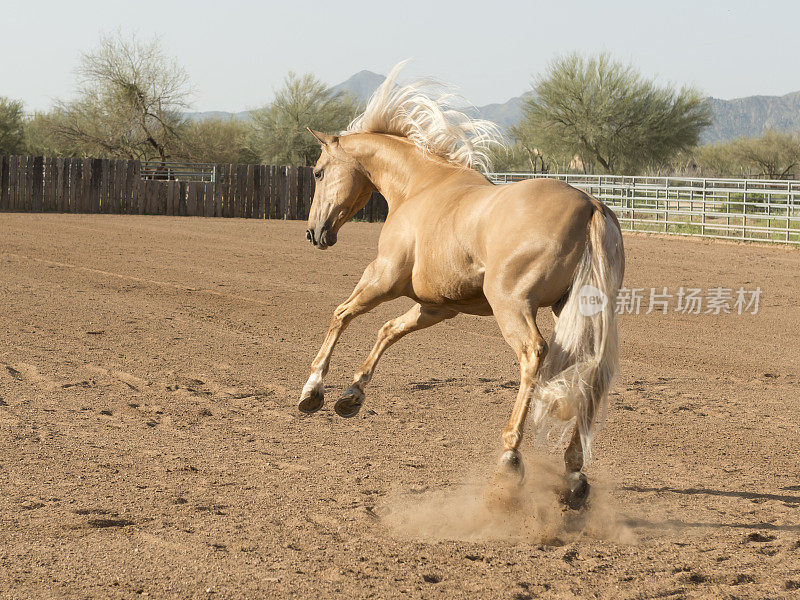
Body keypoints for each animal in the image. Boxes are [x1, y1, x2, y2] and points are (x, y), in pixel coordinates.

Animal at [296, 63, 620, 508]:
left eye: (318, 171)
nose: (314, 232)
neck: (421, 186)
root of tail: (590, 205)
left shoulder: (382, 277)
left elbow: (342, 315)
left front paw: (312, 391)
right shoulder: (437, 306)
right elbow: (388, 331)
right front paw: (351, 397)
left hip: (511, 304)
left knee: (533, 354)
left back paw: (510, 456)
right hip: (578, 310)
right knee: (594, 372)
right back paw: (573, 472)